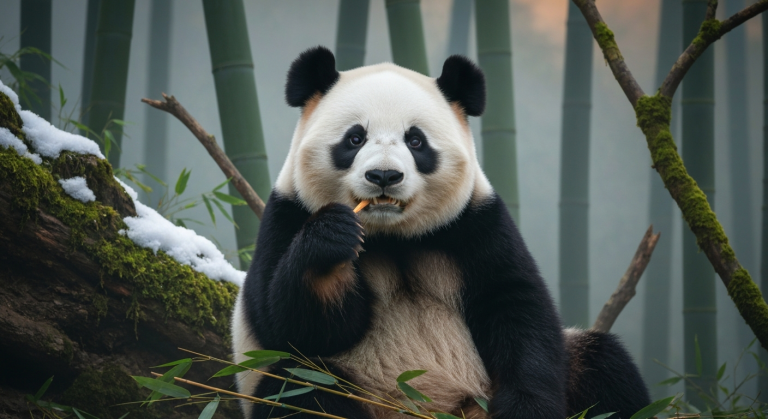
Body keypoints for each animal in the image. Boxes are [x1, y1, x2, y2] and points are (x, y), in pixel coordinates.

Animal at [231, 46, 650, 419]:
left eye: (416, 140)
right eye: (355, 138)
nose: (384, 176)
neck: (392, 237)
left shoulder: (476, 223)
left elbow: (517, 308)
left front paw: (526, 407)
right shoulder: (287, 214)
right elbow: (290, 325)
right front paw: (332, 239)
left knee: (603, 367)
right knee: (298, 390)